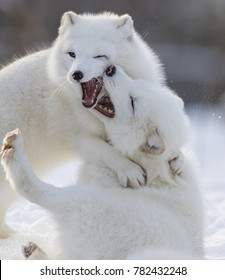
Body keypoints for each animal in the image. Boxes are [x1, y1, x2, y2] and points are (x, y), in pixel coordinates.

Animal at [0, 11, 163, 238]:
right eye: (72, 54)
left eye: (99, 56)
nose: (76, 75)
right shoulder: (73, 136)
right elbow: (105, 151)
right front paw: (129, 170)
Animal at [0, 65, 204, 258]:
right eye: (139, 82)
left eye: (133, 102)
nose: (111, 69)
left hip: (89, 202)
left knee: (33, 189)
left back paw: (14, 149)